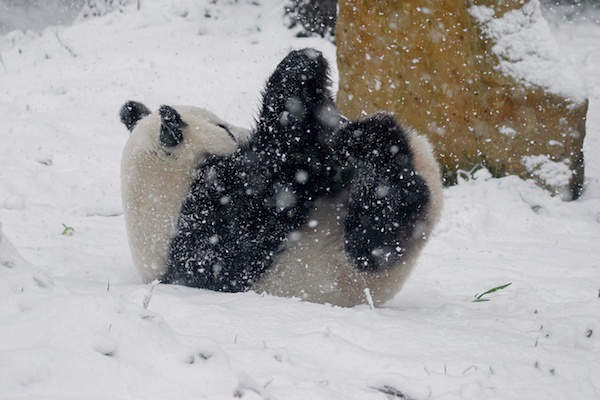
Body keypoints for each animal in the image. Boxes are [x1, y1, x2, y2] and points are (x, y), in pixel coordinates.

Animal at [119, 48, 442, 308]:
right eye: (224, 128)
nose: (241, 132)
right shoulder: (214, 225)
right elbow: (279, 173)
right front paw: (299, 66)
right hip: (354, 263)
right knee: (379, 228)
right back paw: (378, 148)